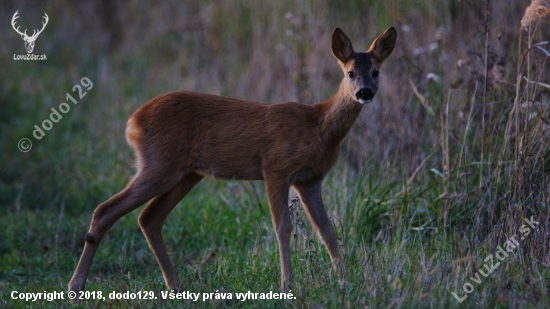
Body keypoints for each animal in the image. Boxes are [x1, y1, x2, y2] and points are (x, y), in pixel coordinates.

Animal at [69, 25, 396, 300]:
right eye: (350, 72)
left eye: (376, 71)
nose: (364, 92)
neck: (318, 127)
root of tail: (132, 122)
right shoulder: (275, 167)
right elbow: (283, 227)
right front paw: (287, 284)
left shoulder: (311, 180)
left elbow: (327, 231)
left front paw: (344, 281)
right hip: (159, 164)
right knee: (106, 210)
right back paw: (76, 288)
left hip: (188, 173)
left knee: (149, 217)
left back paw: (176, 286)